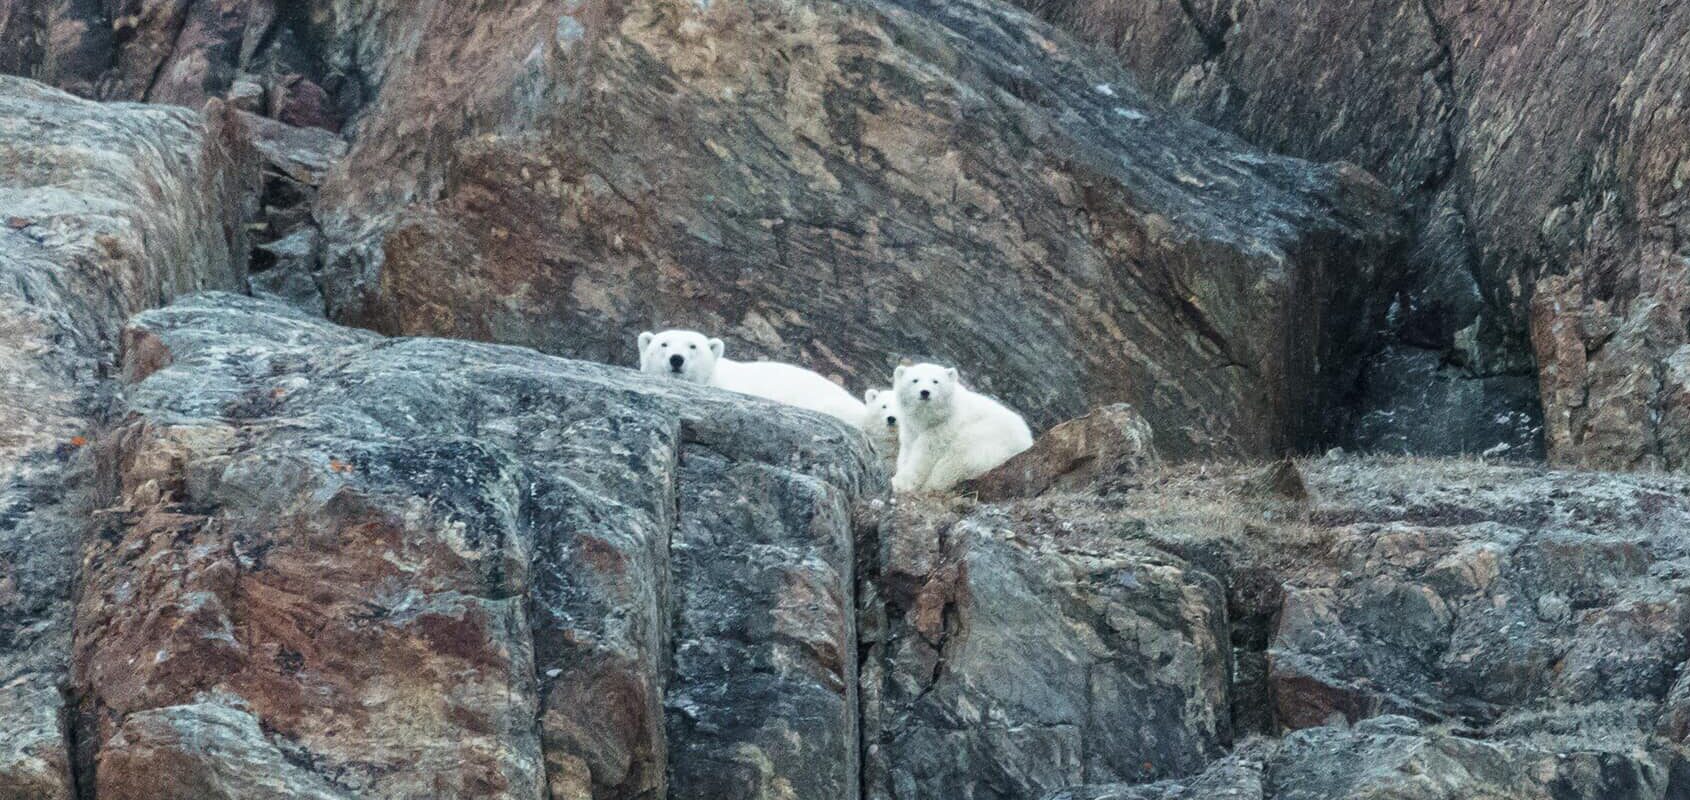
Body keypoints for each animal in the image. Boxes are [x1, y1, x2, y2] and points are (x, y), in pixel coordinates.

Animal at [892, 362, 1033, 493]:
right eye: (915, 380)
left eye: (935, 381)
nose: (925, 392)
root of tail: (1028, 441)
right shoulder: (910, 428)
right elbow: (908, 448)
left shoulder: (945, 426)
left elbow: (926, 451)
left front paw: (901, 483)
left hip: (988, 437)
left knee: (958, 456)